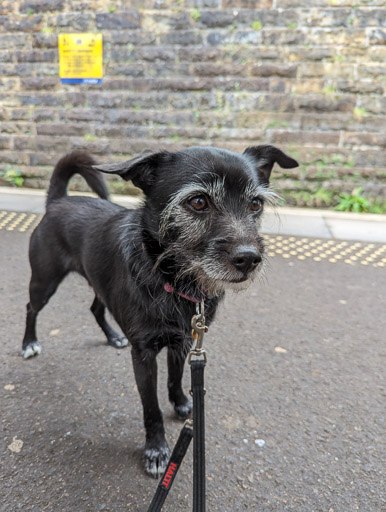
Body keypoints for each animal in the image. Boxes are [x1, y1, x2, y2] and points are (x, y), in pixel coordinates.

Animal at [21, 144, 298, 476]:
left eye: (255, 204)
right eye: (198, 201)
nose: (249, 259)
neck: (172, 280)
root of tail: (58, 200)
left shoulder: (183, 341)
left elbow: (175, 378)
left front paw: (181, 405)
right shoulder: (143, 355)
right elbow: (150, 407)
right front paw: (156, 449)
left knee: (95, 307)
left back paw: (113, 336)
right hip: (44, 282)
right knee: (31, 308)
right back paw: (29, 343)